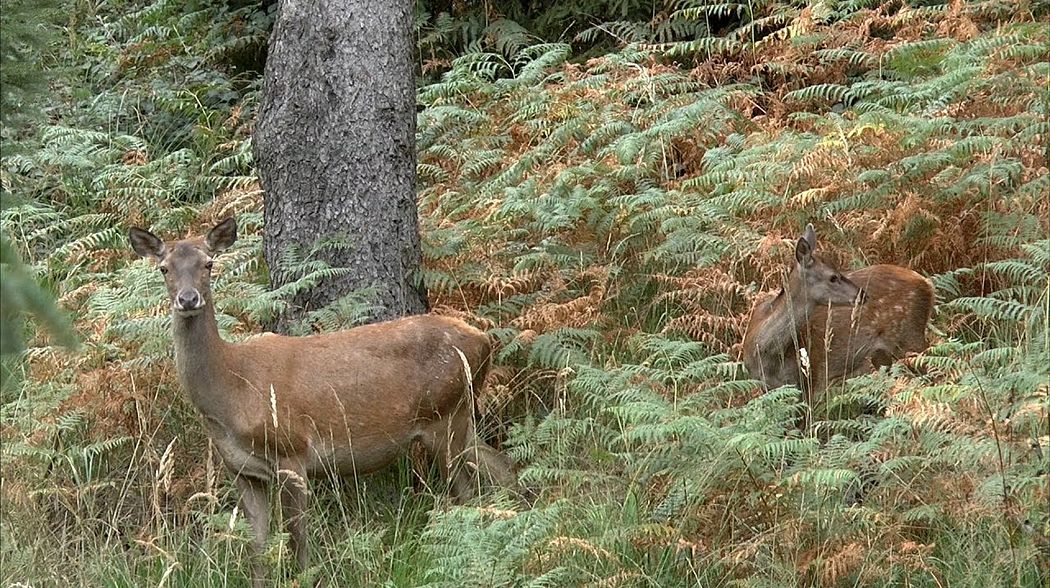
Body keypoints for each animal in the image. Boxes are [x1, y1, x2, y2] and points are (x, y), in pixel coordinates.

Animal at [129, 219, 514, 588]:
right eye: (164, 268)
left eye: (209, 263)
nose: (188, 299)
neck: (231, 391)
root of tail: (484, 340)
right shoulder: (241, 470)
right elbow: (257, 548)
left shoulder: (292, 452)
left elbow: (298, 538)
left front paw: (307, 577)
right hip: (459, 418)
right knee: (502, 469)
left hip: (444, 416)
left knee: (468, 494)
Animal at [739, 224, 936, 403]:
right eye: (833, 277)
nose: (862, 294)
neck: (764, 351)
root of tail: (927, 284)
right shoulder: (768, 386)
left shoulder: (811, 377)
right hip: (883, 353)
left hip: (910, 337)